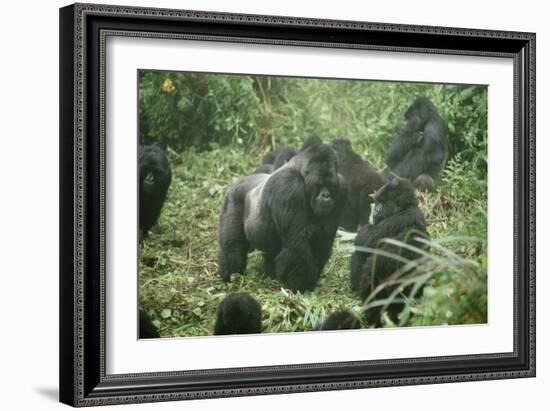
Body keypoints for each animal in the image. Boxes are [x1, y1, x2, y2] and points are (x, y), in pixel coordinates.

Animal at [350, 179, 432, 326]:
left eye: (382, 202)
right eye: (377, 202)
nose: (375, 209)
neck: (406, 207)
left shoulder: (395, 220)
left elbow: (364, 240)